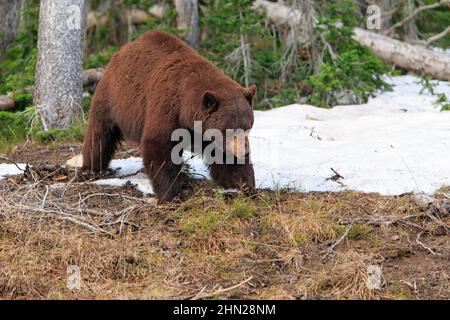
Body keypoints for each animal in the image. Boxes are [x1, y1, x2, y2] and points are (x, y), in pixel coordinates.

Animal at [82, 31, 255, 201]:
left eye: (248, 127)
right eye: (228, 129)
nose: (244, 151)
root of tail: (122, 49)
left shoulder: (207, 132)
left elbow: (223, 156)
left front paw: (246, 185)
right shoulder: (167, 107)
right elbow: (159, 146)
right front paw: (172, 194)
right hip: (113, 97)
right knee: (100, 133)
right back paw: (91, 169)